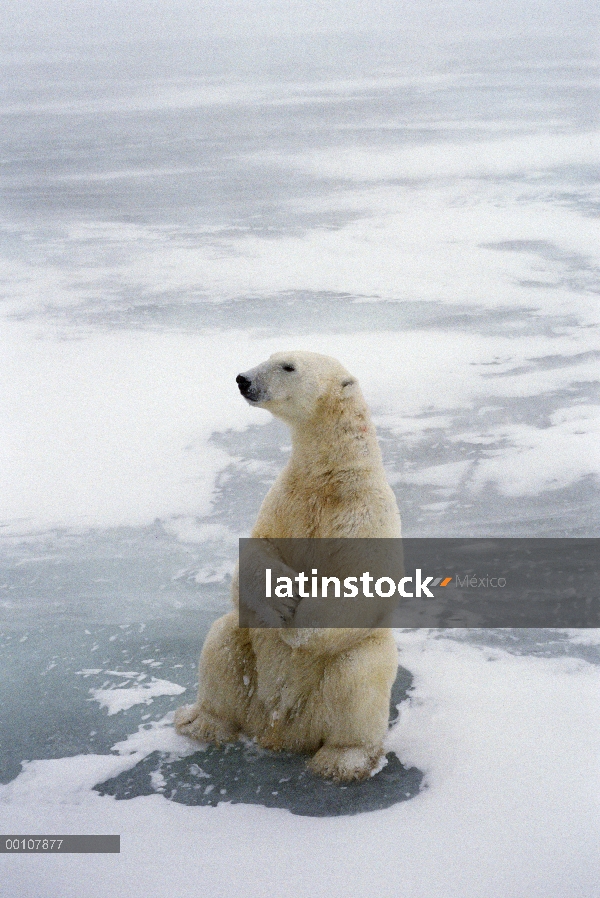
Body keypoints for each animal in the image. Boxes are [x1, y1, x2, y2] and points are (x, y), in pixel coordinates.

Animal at [177, 350, 404, 776]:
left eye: (287, 366)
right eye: (268, 357)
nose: (243, 379)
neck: (329, 478)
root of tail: (278, 730)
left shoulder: (364, 512)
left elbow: (360, 580)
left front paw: (297, 623)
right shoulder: (287, 500)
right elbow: (256, 549)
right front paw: (281, 596)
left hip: (342, 680)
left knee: (359, 674)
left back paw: (341, 760)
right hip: (248, 673)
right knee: (224, 640)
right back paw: (201, 722)